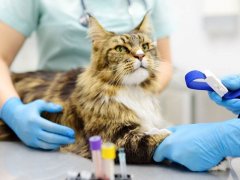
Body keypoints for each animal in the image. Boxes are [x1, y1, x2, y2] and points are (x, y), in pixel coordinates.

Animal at [0, 13, 172, 163]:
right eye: (120, 49)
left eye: (145, 46)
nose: (140, 55)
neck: (133, 90)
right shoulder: (113, 139)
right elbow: (155, 138)